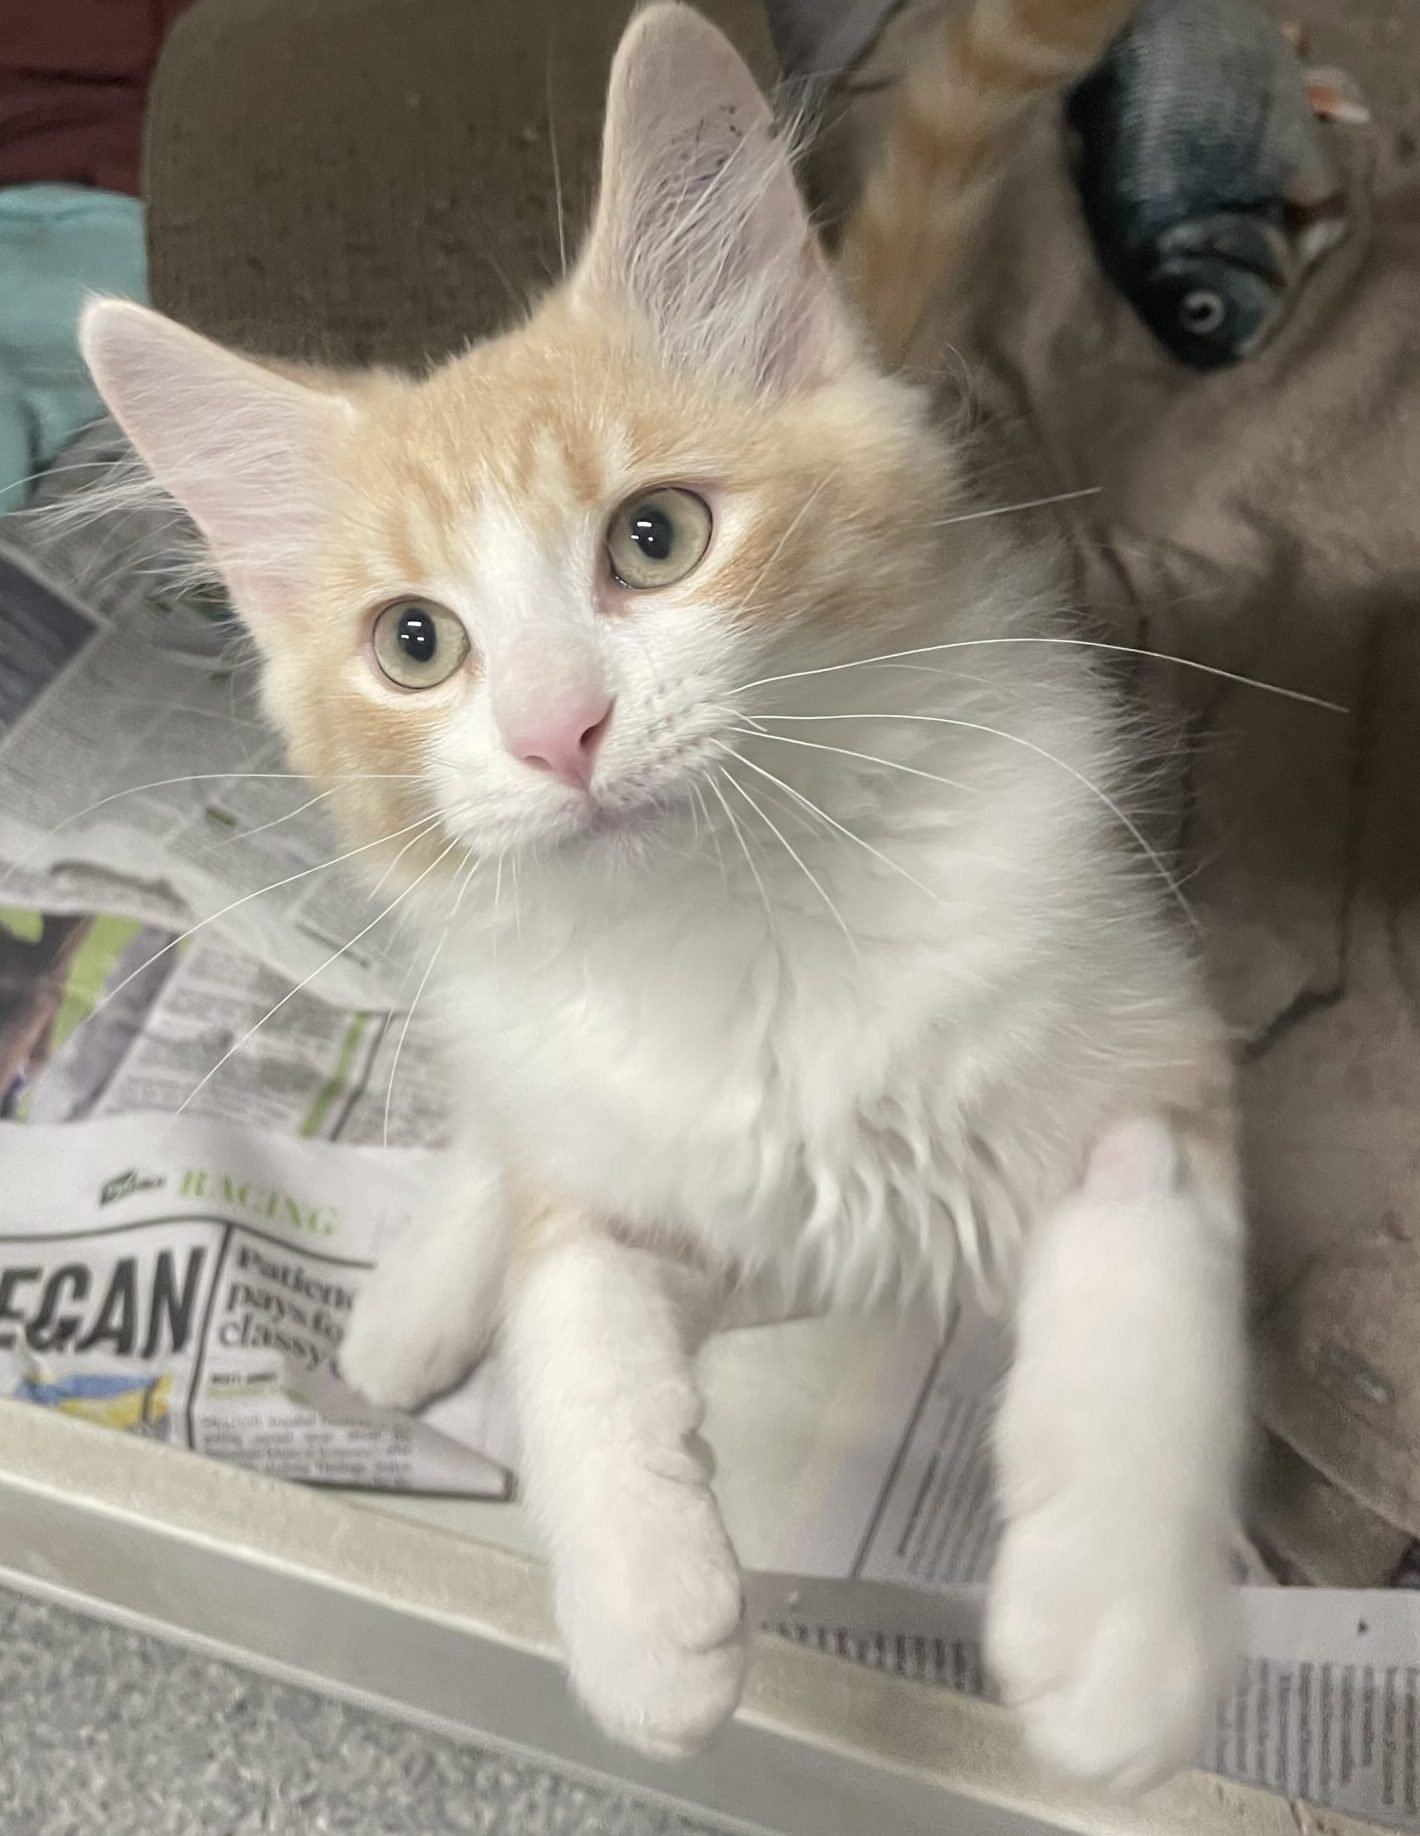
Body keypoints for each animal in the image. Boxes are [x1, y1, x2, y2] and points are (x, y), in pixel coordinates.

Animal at [80, 0, 1243, 1790]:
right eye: (415, 643)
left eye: (655, 538)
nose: (560, 729)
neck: (740, 928)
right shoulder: (678, 1190)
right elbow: (571, 1284)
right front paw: (639, 1606)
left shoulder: (1136, 1015)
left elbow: (1148, 1231)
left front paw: (1113, 1635)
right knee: (506, 1128)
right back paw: (412, 1308)